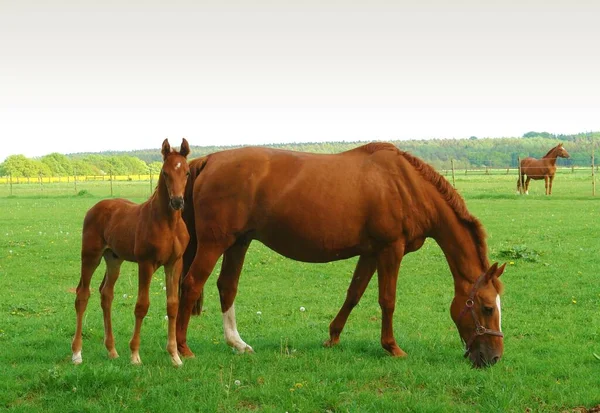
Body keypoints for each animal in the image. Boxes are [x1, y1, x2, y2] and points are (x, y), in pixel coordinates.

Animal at [71, 140, 191, 366]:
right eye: (165, 172)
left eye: (187, 172)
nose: (177, 202)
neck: (168, 224)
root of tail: (95, 208)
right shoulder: (146, 263)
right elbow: (142, 305)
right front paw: (135, 354)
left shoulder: (175, 263)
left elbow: (173, 305)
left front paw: (174, 356)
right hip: (90, 256)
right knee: (82, 294)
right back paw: (77, 353)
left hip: (113, 259)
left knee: (106, 294)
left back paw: (112, 350)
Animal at [177, 142, 506, 366]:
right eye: (487, 308)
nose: (494, 358)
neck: (406, 185)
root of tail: (208, 160)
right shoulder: (391, 249)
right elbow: (387, 300)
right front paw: (392, 347)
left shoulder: (371, 253)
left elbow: (354, 294)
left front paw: (333, 336)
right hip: (215, 244)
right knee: (191, 284)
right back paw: (182, 349)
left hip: (238, 243)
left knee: (226, 287)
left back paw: (237, 343)